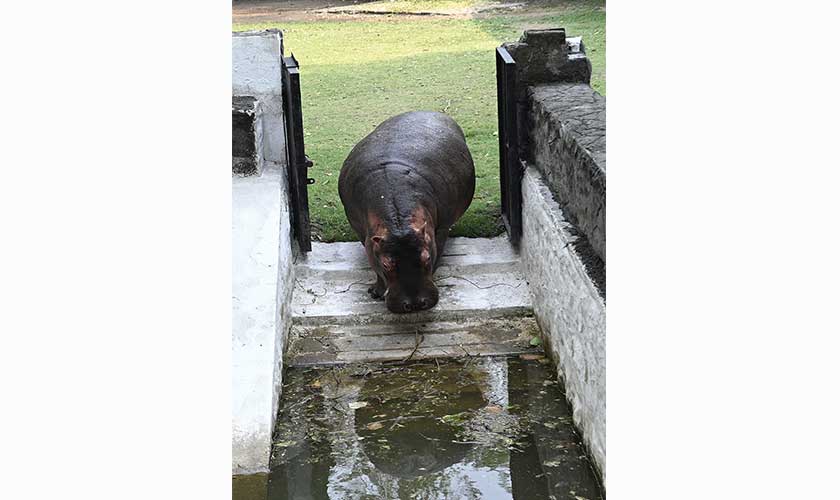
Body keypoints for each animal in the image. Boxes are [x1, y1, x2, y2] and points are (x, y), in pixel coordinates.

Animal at [338, 111, 476, 313]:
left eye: (427, 257)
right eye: (386, 263)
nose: (415, 304)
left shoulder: (440, 231)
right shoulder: (366, 237)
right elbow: (373, 261)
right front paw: (375, 292)